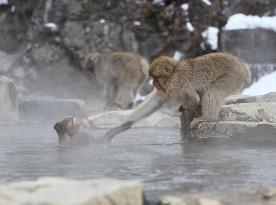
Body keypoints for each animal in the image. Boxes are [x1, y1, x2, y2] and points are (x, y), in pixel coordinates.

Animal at [54, 52, 250, 143]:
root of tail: (243, 65)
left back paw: (207, 118)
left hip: (232, 76)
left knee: (213, 91)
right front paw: (121, 123)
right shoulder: (165, 90)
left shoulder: (178, 83)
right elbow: (152, 104)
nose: (153, 83)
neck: (172, 75)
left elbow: (193, 99)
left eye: (155, 77)